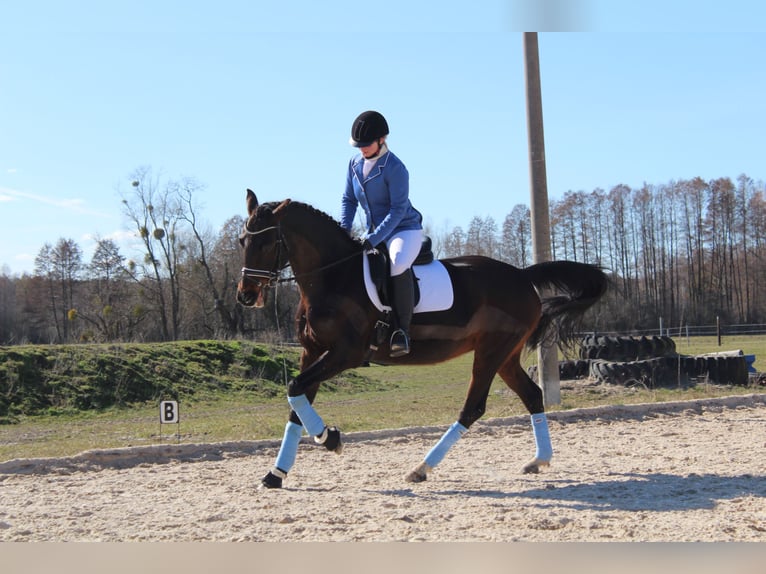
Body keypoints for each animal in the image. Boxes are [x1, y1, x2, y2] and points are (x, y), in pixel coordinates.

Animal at [237, 191, 608, 488]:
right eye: (243, 242)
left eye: (266, 243)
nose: (245, 296)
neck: (333, 277)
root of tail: (521, 275)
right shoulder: (312, 352)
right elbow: (296, 403)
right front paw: (276, 475)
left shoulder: (345, 353)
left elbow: (295, 390)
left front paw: (331, 439)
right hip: (505, 356)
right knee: (531, 395)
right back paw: (539, 460)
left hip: (490, 352)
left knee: (472, 408)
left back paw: (421, 468)